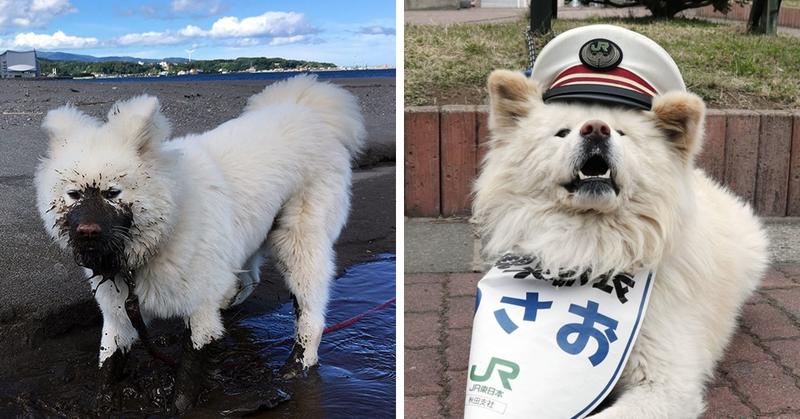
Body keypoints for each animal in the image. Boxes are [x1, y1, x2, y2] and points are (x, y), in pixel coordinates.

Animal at [35, 75, 366, 410]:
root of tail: (309, 110)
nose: (86, 232)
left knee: (311, 315)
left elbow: (186, 380)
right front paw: (103, 403)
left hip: (298, 243)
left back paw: (297, 367)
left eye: (112, 193)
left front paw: (179, 404)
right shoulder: (118, 314)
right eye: (74, 194)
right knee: (250, 277)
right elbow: (108, 365)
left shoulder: (199, 312)